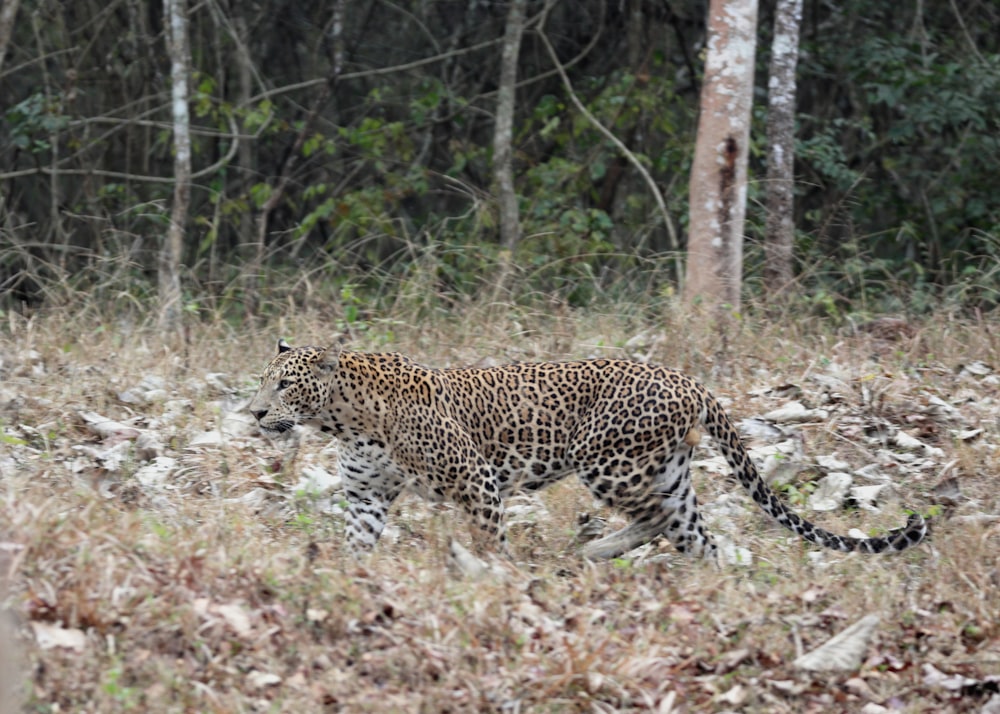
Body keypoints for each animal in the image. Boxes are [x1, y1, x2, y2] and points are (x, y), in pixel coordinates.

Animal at [250, 340, 928, 560]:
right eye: (263, 379)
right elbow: (356, 544)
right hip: (665, 471)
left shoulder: (475, 479)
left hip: (607, 463)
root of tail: (690, 381)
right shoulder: (366, 494)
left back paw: (593, 551)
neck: (345, 421)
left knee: (656, 520)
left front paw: (493, 576)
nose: (254, 412)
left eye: (284, 384)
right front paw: (348, 579)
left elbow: (488, 539)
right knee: (693, 534)